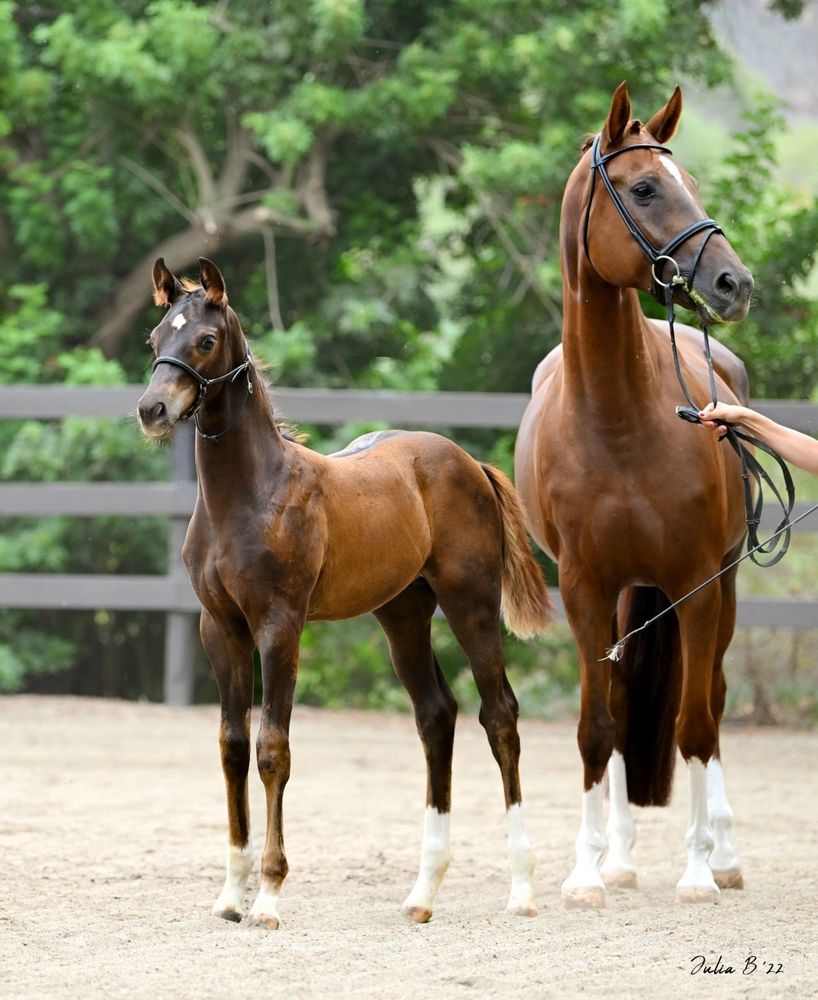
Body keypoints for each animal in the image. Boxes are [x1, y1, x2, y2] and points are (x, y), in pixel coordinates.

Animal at [137, 258, 552, 928]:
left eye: (204, 340)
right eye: (154, 340)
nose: (151, 409)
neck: (249, 496)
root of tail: (467, 461)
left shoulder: (279, 625)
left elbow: (272, 748)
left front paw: (269, 896)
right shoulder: (218, 627)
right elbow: (231, 746)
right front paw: (230, 894)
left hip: (471, 605)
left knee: (500, 717)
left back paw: (522, 888)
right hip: (402, 616)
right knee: (436, 717)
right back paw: (422, 894)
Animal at [516, 84, 752, 908]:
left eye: (693, 185)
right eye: (645, 188)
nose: (734, 284)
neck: (619, 422)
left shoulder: (698, 586)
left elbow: (695, 725)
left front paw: (699, 871)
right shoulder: (586, 590)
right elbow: (597, 725)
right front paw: (587, 873)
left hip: (721, 590)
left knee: (711, 697)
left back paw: (724, 852)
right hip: (626, 597)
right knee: (622, 710)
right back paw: (618, 857)